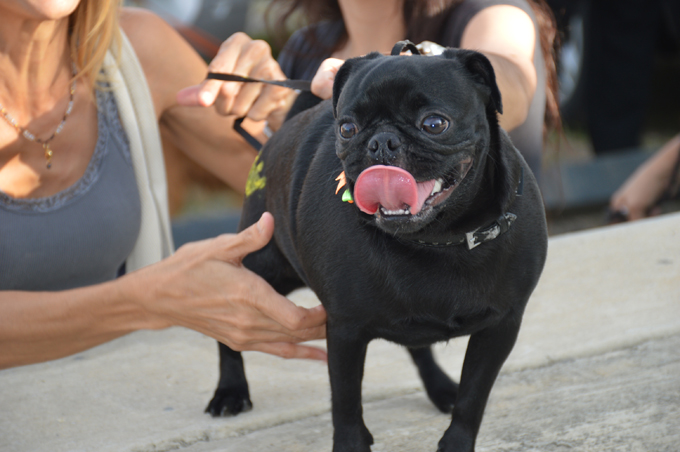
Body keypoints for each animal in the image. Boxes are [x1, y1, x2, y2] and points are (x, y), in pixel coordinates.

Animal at [206, 42, 548, 452]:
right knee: (228, 324)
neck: (438, 238)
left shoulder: (501, 326)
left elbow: (472, 399)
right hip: (263, 269)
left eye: (435, 124)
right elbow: (346, 399)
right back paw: (230, 391)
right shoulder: (345, 328)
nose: (381, 141)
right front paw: (351, 444)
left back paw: (440, 388)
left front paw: (455, 441)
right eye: (347, 128)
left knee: (419, 346)